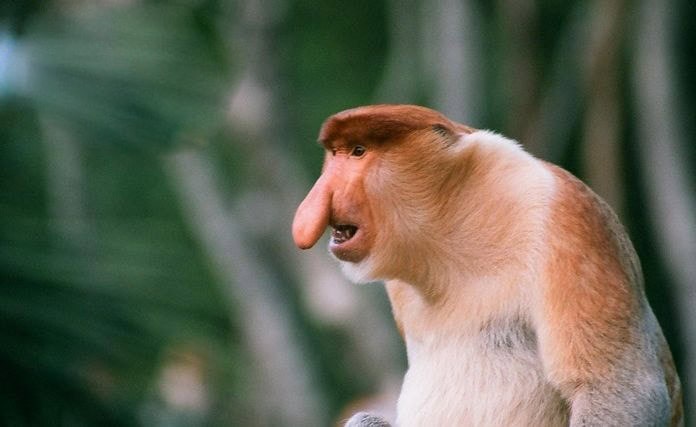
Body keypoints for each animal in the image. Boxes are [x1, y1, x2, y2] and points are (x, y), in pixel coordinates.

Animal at [292, 105, 683, 426]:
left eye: (359, 152)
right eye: (335, 154)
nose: (316, 201)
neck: (448, 232)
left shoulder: (569, 217)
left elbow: (614, 386)